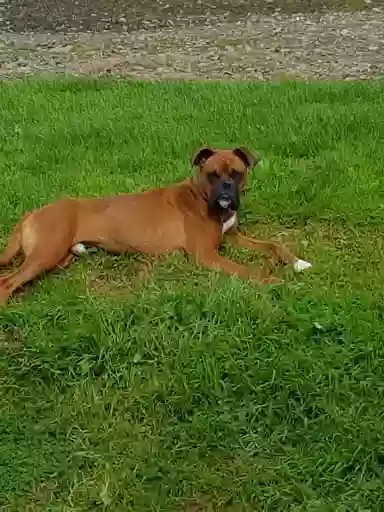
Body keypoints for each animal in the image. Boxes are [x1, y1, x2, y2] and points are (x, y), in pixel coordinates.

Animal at [0, 145, 312, 304]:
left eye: (235, 173)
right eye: (212, 174)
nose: (225, 191)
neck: (200, 197)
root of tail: (33, 212)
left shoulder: (233, 236)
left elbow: (274, 245)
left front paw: (297, 263)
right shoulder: (207, 255)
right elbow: (247, 269)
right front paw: (274, 281)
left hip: (60, 256)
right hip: (46, 253)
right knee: (7, 281)